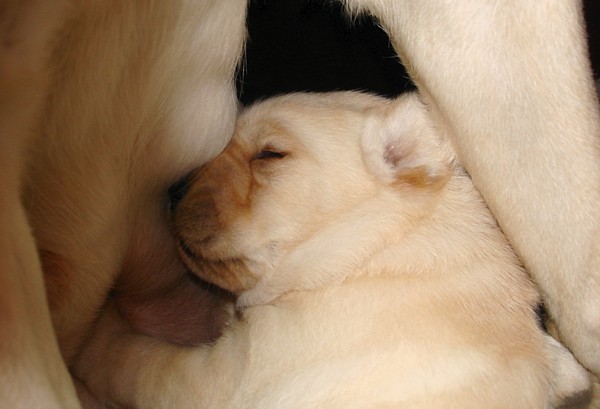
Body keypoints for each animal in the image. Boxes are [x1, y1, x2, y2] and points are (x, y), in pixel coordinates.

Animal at [75, 92, 592, 408]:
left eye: (270, 154)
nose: (173, 188)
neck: (369, 251)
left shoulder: (224, 377)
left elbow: (134, 359)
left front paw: (94, 333)